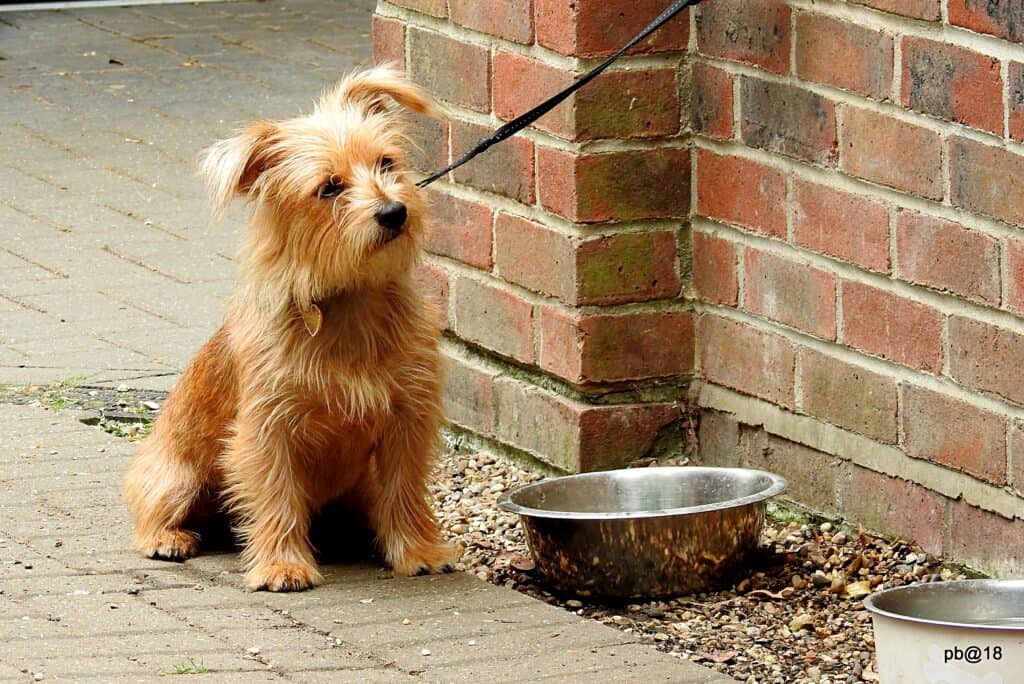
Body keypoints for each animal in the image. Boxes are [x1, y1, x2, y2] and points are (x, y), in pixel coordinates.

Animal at [121, 70, 454, 593]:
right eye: (329, 188)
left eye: (386, 163)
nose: (394, 212)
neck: (347, 300)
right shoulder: (268, 429)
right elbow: (277, 495)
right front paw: (282, 565)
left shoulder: (407, 420)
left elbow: (404, 489)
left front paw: (417, 550)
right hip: (178, 479)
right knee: (153, 507)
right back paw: (167, 537)